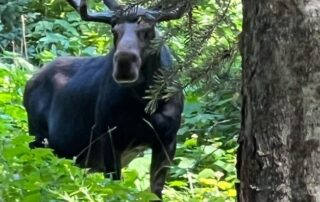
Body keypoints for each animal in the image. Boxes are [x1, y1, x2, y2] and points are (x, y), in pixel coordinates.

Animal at [23, 0, 186, 199]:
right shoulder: (108, 135)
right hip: (38, 138)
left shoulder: (168, 138)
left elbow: (155, 190)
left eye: (149, 28)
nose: (124, 62)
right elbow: (115, 185)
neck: (143, 102)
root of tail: (29, 83)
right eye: (114, 29)